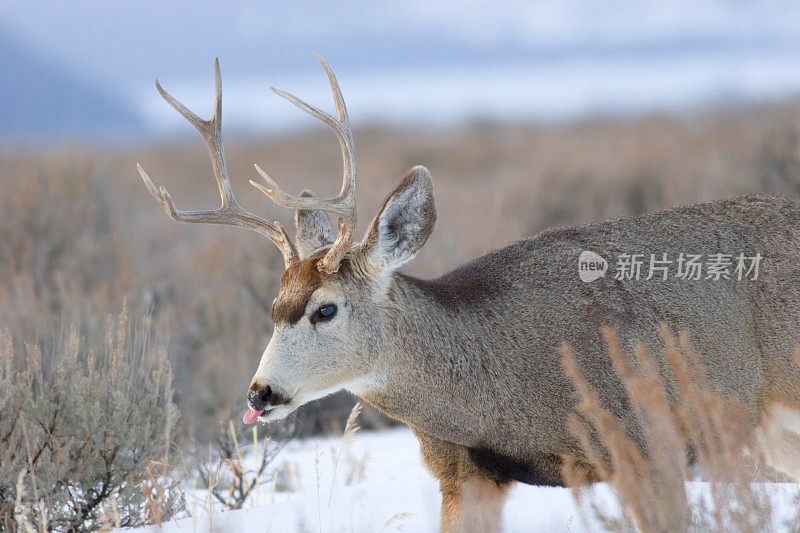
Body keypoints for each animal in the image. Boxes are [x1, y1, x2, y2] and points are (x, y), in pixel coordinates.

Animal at [139, 56, 800, 528]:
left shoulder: (647, 445)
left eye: (326, 309)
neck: (494, 386)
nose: (261, 392)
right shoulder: (465, 473)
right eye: (273, 309)